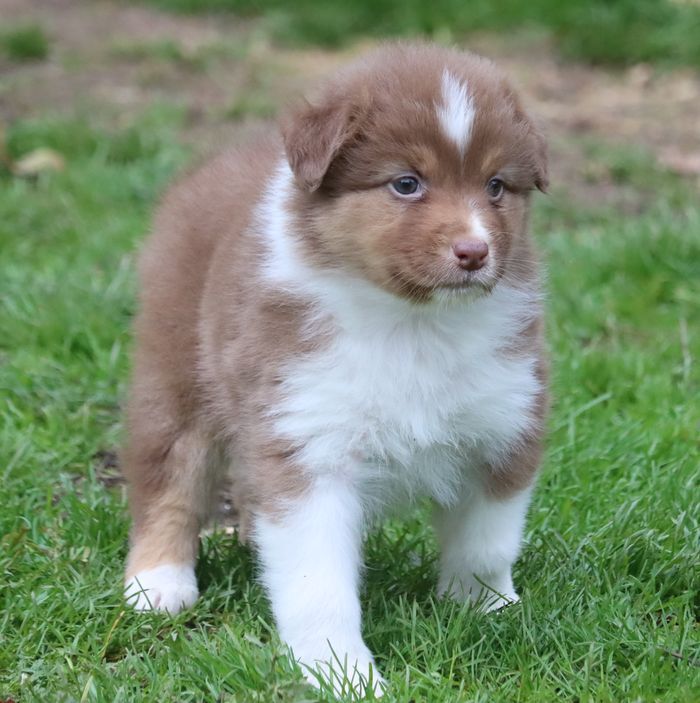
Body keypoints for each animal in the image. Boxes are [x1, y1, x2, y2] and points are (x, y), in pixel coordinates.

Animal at [123, 44, 548, 700]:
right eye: (406, 183)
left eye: (496, 186)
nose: (475, 252)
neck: (413, 326)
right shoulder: (308, 447)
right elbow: (317, 584)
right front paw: (341, 672)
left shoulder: (504, 426)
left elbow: (486, 544)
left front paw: (485, 611)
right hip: (176, 370)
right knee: (167, 475)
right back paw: (158, 584)